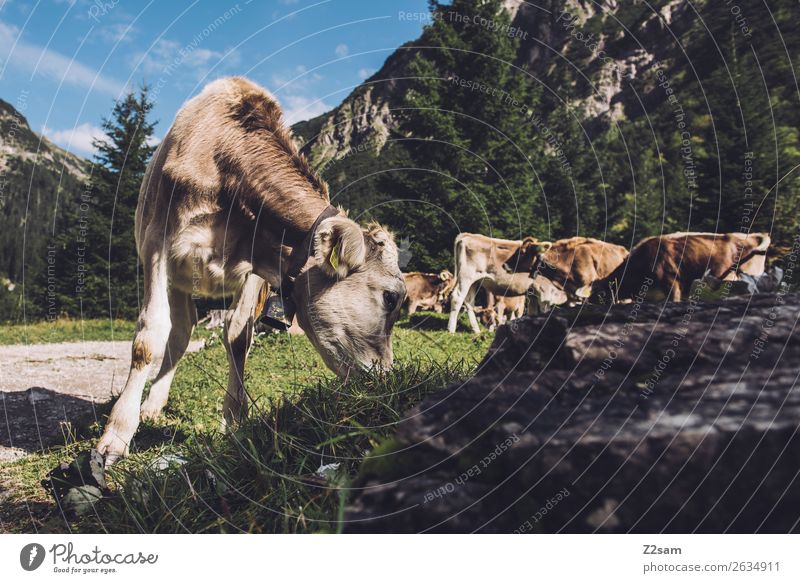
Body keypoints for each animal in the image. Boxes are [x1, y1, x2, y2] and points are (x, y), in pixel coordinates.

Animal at [97, 77, 406, 464]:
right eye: (391, 297)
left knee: (184, 330)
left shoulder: (258, 263)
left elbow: (238, 334)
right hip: (177, 276)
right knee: (178, 331)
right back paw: (150, 405)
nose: (387, 382)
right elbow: (149, 336)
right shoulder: (157, 243)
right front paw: (116, 435)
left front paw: (235, 421)